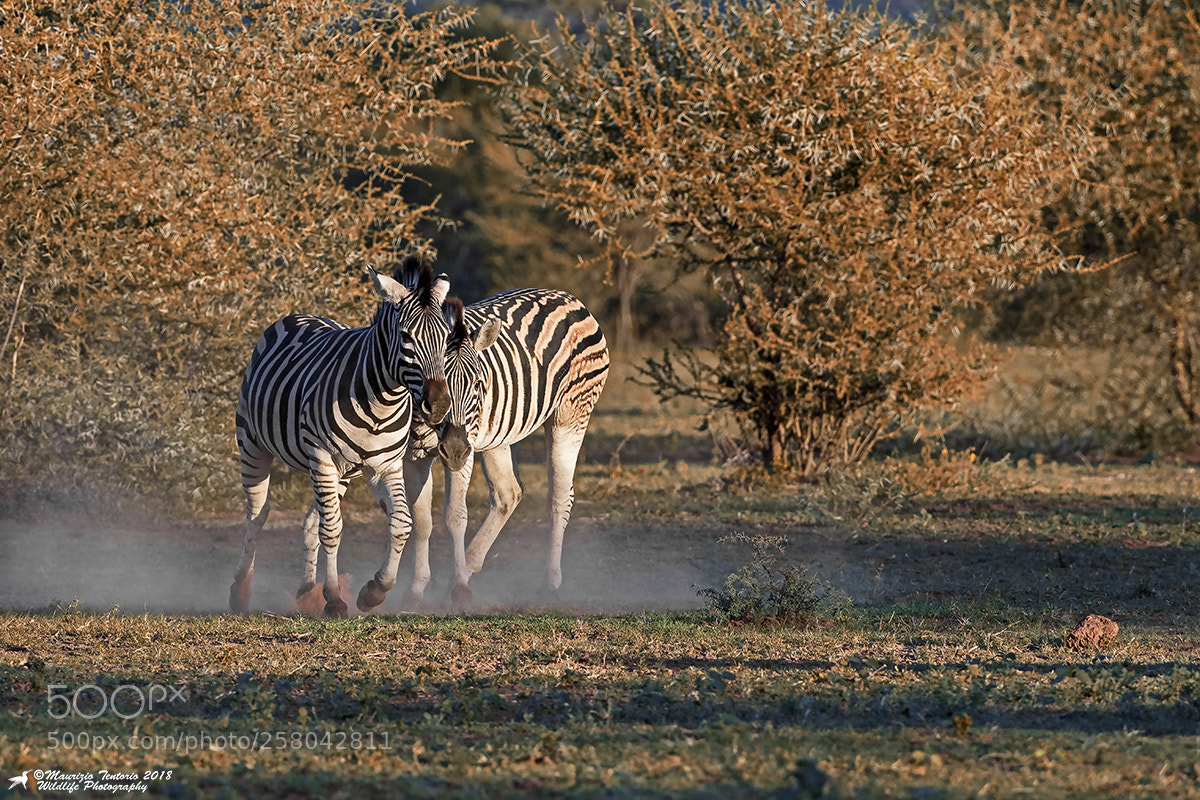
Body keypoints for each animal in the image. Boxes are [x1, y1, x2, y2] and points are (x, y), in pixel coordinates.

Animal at [230, 262, 452, 618]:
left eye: (446, 339)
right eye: (406, 336)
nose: (440, 404)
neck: (381, 403)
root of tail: (299, 315)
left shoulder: (386, 466)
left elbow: (401, 522)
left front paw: (374, 591)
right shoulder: (322, 457)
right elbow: (332, 529)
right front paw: (334, 598)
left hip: (341, 472)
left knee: (311, 521)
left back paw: (306, 591)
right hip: (254, 444)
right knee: (258, 515)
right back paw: (240, 590)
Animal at [405, 288, 609, 605]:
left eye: (478, 384)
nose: (453, 450)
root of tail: (570, 299)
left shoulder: (466, 445)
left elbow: (454, 514)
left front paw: (459, 588)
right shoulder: (413, 455)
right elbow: (420, 519)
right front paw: (416, 589)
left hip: (571, 415)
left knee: (559, 498)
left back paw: (550, 581)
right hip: (497, 435)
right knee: (508, 494)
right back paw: (470, 564)